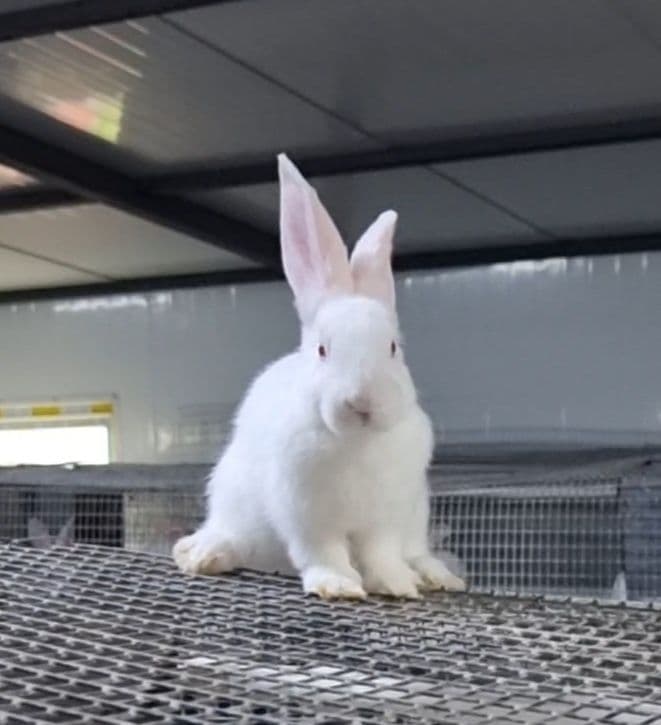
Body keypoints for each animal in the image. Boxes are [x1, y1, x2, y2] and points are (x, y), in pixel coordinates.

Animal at [173, 154, 466, 600]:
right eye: (323, 350)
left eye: (393, 348)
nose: (362, 402)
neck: (357, 442)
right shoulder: (307, 514)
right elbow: (323, 552)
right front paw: (339, 586)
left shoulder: (383, 518)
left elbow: (382, 554)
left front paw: (396, 585)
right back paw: (202, 554)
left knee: (415, 552)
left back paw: (437, 576)